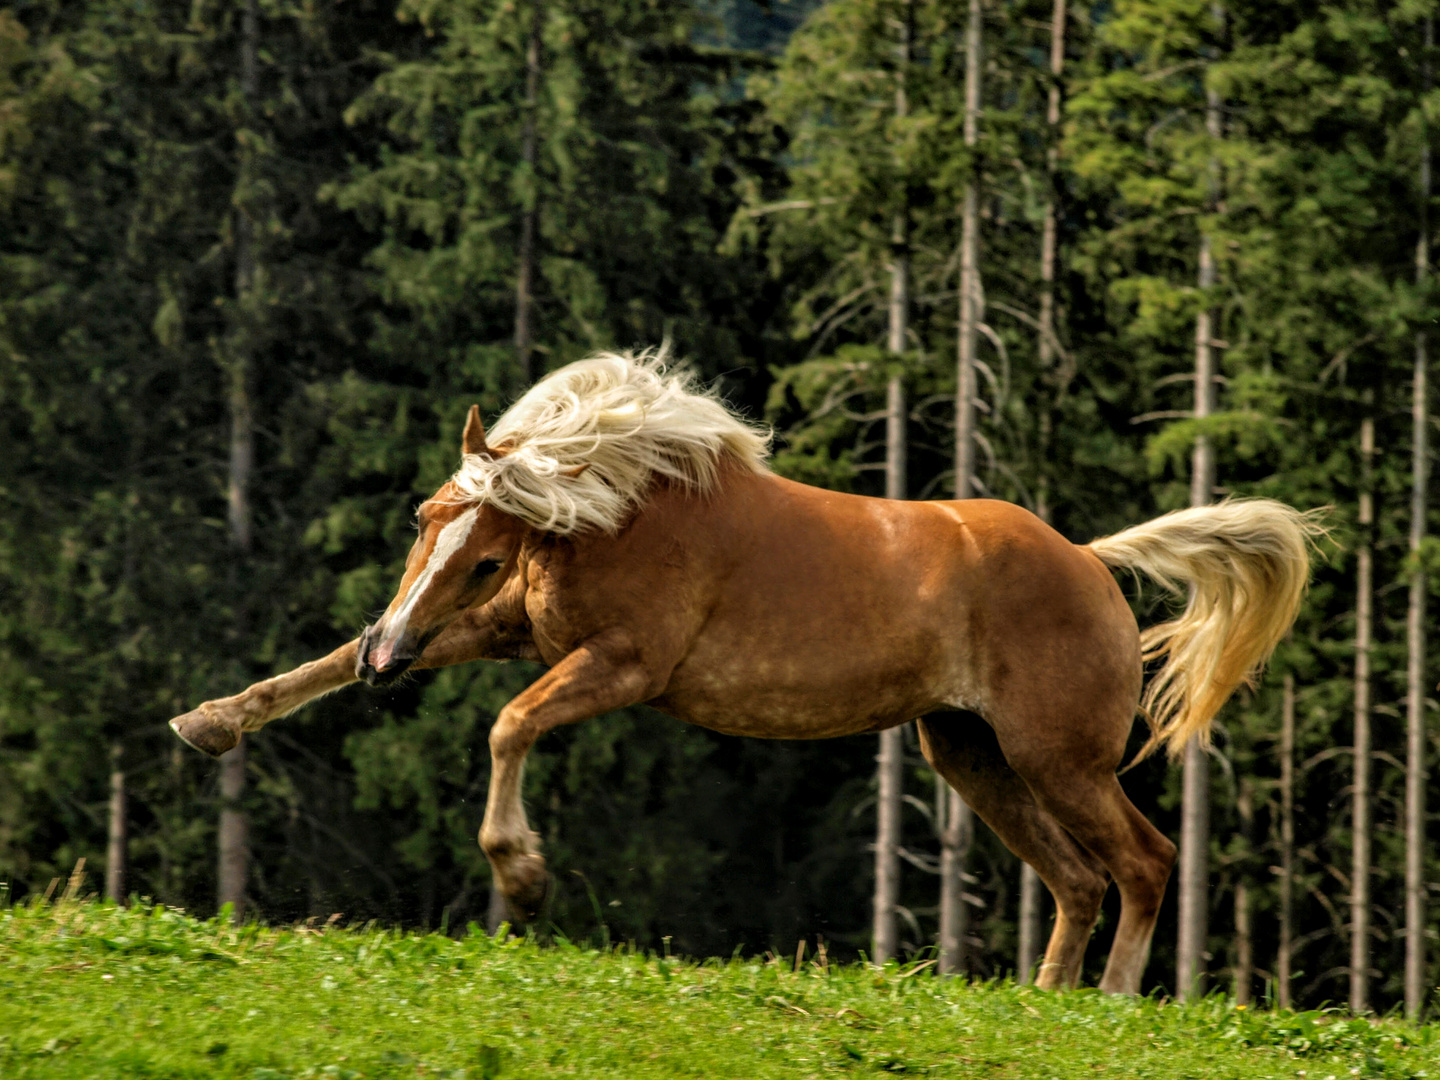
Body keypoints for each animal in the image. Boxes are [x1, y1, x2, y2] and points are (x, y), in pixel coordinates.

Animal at [168, 351, 1319, 996]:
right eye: (422, 520)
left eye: (488, 554)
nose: (390, 660)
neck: (627, 510)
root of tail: (1091, 559)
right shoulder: (520, 633)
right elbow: (326, 662)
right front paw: (210, 721)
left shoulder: (624, 665)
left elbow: (510, 725)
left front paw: (522, 874)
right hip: (973, 756)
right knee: (1078, 880)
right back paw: (1044, 999)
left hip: (1058, 758)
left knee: (1143, 863)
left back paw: (1110, 1000)